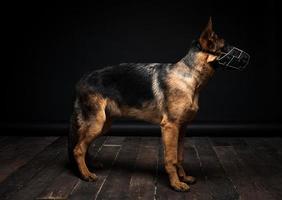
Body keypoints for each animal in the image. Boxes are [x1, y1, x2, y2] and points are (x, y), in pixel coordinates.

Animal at [69, 18, 250, 191]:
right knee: (78, 149)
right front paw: (175, 184)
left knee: (83, 145)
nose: (249, 57)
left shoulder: (182, 128)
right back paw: (85, 174)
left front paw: (183, 177)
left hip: (104, 124)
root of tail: (81, 79)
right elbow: (171, 158)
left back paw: (89, 166)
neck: (189, 76)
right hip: (97, 123)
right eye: (226, 46)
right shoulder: (170, 127)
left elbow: (179, 156)